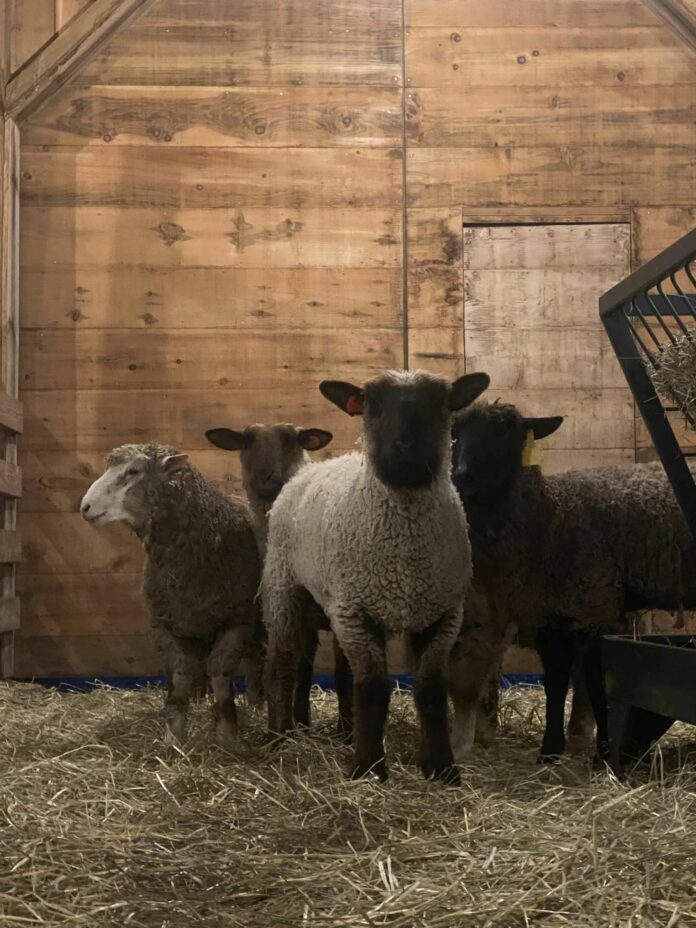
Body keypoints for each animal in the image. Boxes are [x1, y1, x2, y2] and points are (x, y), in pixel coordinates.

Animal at [80, 442, 263, 747]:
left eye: (134, 471)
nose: (85, 507)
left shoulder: (237, 622)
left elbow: (221, 672)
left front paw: (227, 733)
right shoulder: (164, 625)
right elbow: (179, 675)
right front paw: (173, 735)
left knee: (254, 659)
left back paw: (256, 702)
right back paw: (198, 697)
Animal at [204, 422, 353, 738]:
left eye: (289, 440)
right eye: (245, 441)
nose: (264, 477)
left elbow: (343, 672)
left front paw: (346, 733)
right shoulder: (294, 614)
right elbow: (295, 670)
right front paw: (295, 725)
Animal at [261, 369, 490, 784]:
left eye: (440, 403)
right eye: (372, 404)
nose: (406, 448)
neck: (404, 557)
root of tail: (309, 469)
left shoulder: (443, 613)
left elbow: (431, 690)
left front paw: (441, 767)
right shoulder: (356, 612)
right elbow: (372, 688)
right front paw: (367, 767)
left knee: (339, 672)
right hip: (284, 586)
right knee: (282, 663)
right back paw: (279, 736)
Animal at [448, 400, 696, 763]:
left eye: (506, 432)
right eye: (455, 434)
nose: (462, 475)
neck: (551, 516)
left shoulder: (596, 611)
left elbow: (595, 683)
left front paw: (602, 753)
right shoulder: (549, 618)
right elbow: (555, 683)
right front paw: (549, 752)